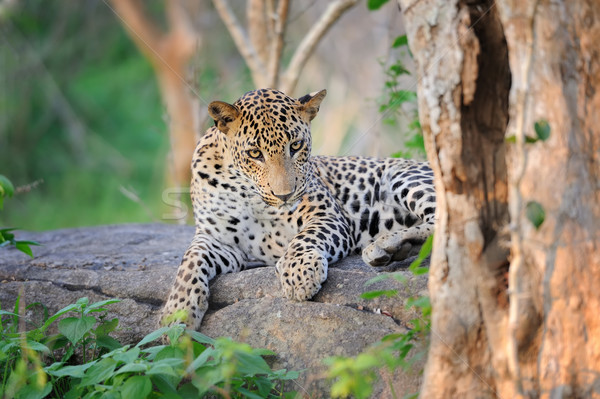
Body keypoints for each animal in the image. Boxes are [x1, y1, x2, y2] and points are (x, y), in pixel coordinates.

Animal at [161, 89, 436, 330]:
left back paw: (385, 245)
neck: (250, 194)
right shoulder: (217, 239)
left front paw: (299, 273)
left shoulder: (327, 215)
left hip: (402, 175)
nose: (284, 195)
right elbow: (190, 260)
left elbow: (305, 237)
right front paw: (177, 313)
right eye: (254, 153)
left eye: (296, 145)